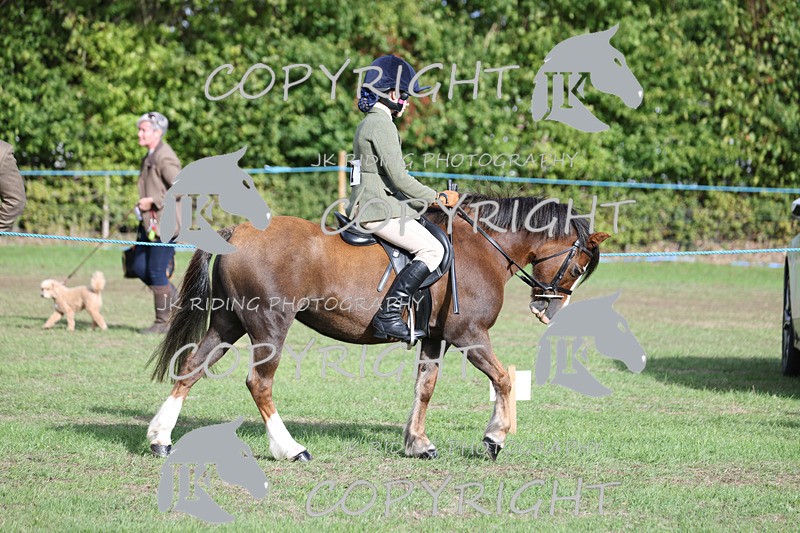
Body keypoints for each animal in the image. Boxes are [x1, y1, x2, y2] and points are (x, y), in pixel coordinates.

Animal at [147, 194, 610, 462]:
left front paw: (418, 443)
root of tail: (238, 231)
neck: (481, 246)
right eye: (579, 267)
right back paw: (290, 449)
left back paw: (159, 439)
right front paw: (496, 437)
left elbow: (425, 387)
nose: (547, 311)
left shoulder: (436, 338)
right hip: (269, 325)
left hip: (229, 323)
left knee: (190, 368)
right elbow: (504, 378)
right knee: (259, 383)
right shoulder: (469, 336)